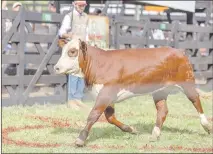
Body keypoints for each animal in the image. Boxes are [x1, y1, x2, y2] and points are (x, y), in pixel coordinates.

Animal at [54, 38, 212, 147]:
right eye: (62, 51)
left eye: (72, 51)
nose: (56, 68)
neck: (99, 64)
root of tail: (179, 51)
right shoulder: (107, 96)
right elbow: (110, 117)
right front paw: (130, 129)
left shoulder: (106, 92)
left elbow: (93, 114)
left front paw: (80, 139)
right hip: (160, 91)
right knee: (163, 110)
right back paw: (155, 134)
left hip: (187, 81)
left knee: (196, 100)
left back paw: (206, 125)